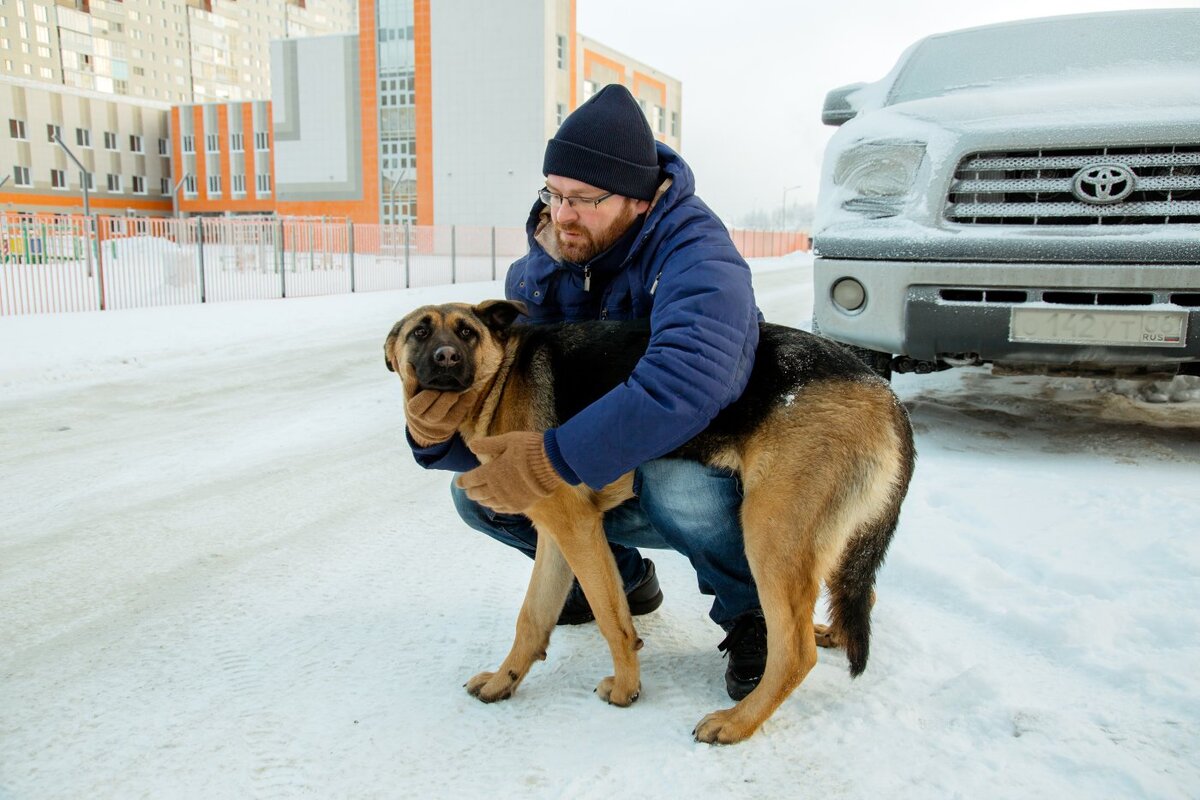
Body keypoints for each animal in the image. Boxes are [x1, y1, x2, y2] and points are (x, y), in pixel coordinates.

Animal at [381, 299, 907, 743]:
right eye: (420, 332)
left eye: (466, 332)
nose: (447, 358)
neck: (501, 378)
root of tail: (885, 396)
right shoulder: (555, 534)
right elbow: (531, 616)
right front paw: (503, 680)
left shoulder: (577, 528)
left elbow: (612, 618)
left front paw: (626, 689)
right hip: (825, 540)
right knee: (862, 593)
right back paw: (833, 634)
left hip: (771, 535)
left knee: (794, 651)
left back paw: (738, 722)